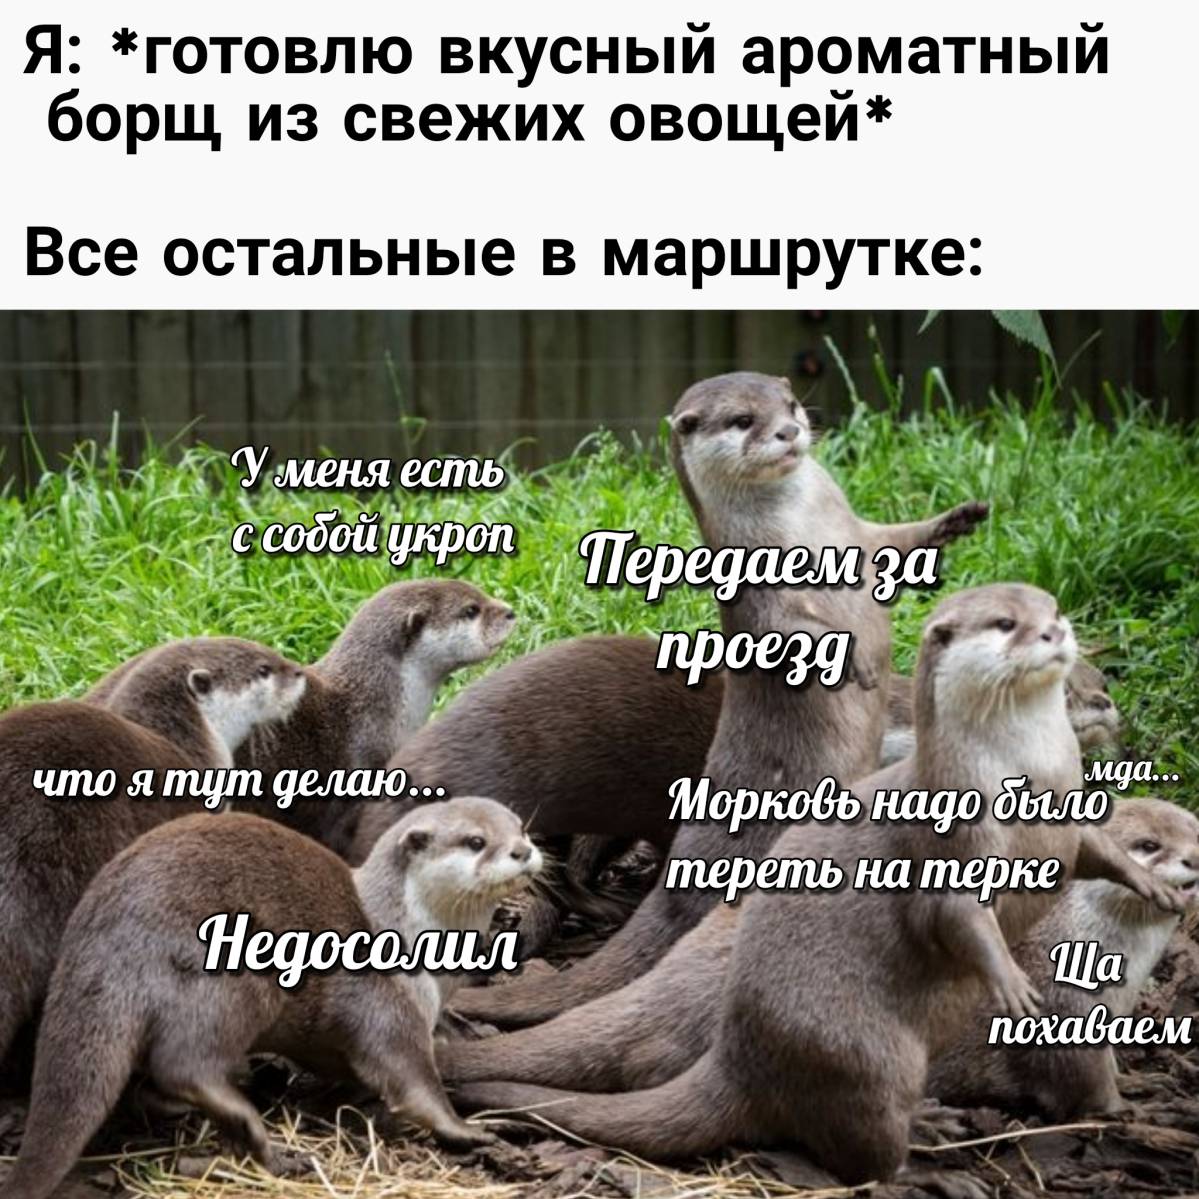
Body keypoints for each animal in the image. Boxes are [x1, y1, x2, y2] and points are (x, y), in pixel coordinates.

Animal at [0, 799, 541, 1199]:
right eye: (476, 841)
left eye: (521, 828)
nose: (522, 850)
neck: (409, 936)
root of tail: (106, 938)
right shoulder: (387, 1003)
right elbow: (411, 1080)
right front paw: (470, 1129)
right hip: (233, 982)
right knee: (183, 1063)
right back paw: (257, 1134)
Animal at [442, 372, 989, 1027]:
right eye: (741, 421)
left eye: (790, 404)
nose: (789, 430)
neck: (808, 527)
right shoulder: (766, 592)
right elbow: (794, 629)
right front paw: (852, 657)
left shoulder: (855, 532)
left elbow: (895, 539)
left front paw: (958, 517)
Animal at [928, 796, 1199, 1119]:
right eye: (1148, 845)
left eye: (1197, 831)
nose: (1195, 857)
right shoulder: (1059, 1006)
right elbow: (1085, 1080)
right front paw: (1135, 1108)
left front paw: (1137, 1081)